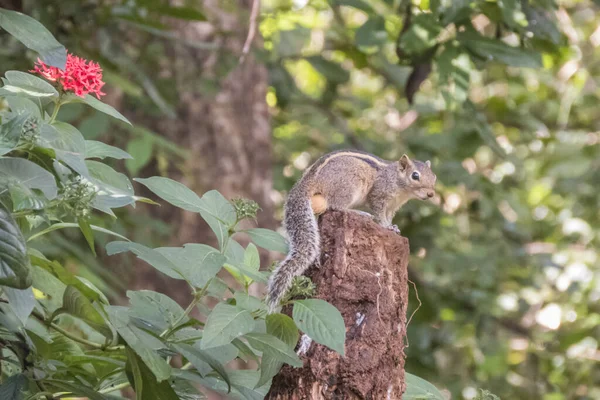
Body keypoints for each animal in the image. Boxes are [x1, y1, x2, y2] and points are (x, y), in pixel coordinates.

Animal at [268, 150, 436, 312]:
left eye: (434, 177)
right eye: (415, 175)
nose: (431, 194)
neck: (398, 182)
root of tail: (309, 179)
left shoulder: (393, 206)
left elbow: (388, 216)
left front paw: (393, 227)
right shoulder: (379, 195)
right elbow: (379, 213)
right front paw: (386, 226)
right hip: (348, 185)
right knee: (336, 206)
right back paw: (359, 212)